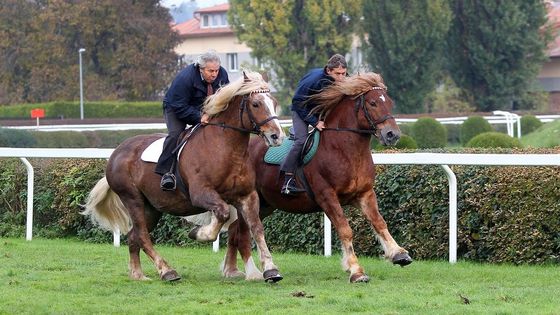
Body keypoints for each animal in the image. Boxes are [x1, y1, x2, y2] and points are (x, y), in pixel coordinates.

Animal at [84, 72, 284, 284]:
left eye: (274, 102)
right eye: (255, 104)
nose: (277, 136)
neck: (226, 149)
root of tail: (117, 152)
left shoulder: (247, 196)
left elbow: (257, 227)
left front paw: (270, 269)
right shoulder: (201, 194)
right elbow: (222, 214)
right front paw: (198, 233)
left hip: (152, 208)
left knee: (134, 236)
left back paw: (137, 274)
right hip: (132, 199)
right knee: (143, 236)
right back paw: (167, 271)